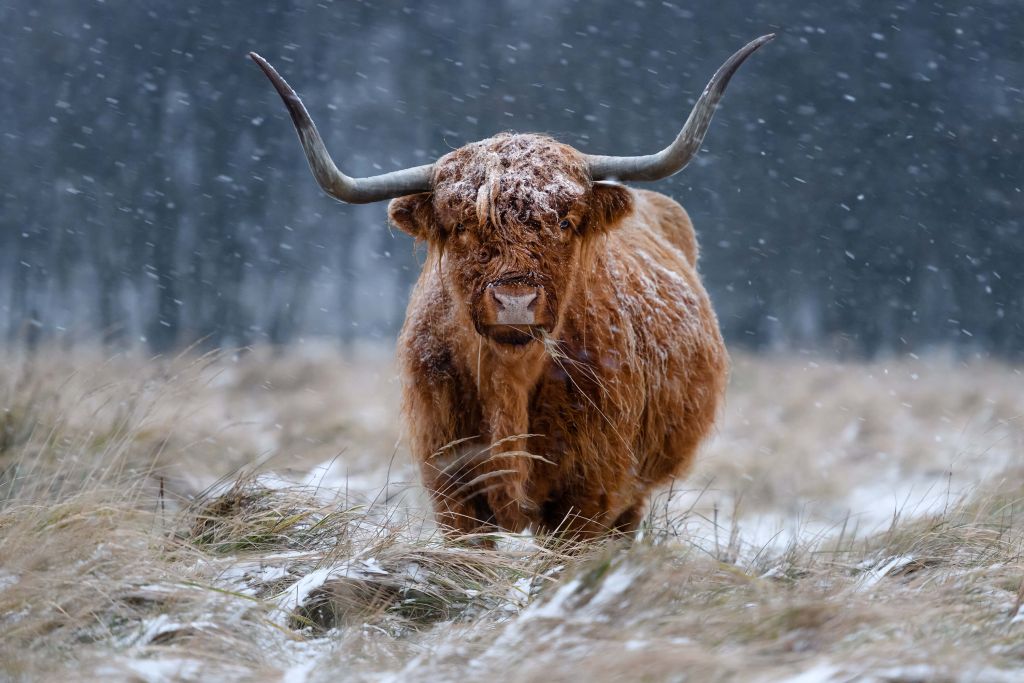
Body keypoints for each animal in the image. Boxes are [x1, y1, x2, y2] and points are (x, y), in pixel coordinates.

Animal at [251, 36, 770, 540]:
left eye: (564, 221)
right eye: (462, 226)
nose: (515, 301)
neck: (510, 382)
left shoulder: (591, 491)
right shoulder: (452, 487)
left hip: (634, 492)